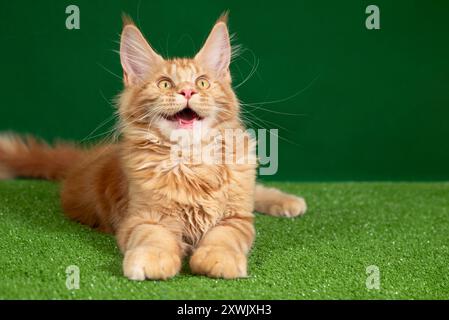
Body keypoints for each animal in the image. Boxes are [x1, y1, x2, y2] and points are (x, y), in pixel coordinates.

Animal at [0, 13, 306, 280]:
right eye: (165, 84)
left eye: (202, 82)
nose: (187, 91)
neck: (191, 160)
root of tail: (86, 159)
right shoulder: (142, 218)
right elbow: (155, 238)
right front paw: (154, 259)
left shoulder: (236, 218)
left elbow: (223, 237)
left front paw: (218, 259)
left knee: (254, 192)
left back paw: (288, 202)